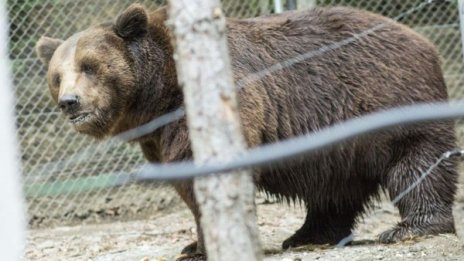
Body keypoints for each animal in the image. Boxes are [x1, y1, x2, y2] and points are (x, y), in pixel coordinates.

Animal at [36, 3, 456, 258]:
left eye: (90, 66)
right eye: (57, 75)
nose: (70, 101)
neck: (159, 93)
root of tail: (423, 41)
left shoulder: (209, 106)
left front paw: (204, 245)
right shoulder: (158, 136)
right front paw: (195, 244)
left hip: (390, 100)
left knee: (418, 163)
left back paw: (412, 226)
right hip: (338, 138)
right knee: (333, 186)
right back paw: (308, 235)